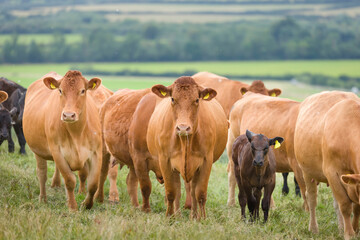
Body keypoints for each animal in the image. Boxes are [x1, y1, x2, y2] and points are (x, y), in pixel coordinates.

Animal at [22, 71, 102, 210]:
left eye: (82, 90)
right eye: (60, 90)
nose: (68, 115)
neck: (77, 133)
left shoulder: (97, 152)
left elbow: (93, 184)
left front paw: (86, 204)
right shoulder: (57, 151)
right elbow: (69, 180)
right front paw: (72, 206)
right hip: (38, 151)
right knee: (42, 174)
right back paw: (43, 199)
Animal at [147, 77, 228, 219]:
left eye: (196, 100)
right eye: (172, 99)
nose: (183, 128)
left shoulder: (206, 161)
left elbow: (200, 193)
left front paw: (202, 219)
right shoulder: (165, 161)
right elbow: (171, 192)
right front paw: (169, 217)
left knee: (193, 190)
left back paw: (194, 216)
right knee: (178, 191)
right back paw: (178, 215)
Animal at [294, 91, 360, 239]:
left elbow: (356, 207)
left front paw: (354, 229)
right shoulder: (332, 172)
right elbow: (345, 205)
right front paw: (349, 233)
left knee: (336, 204)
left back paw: (340, 228)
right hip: (307, 171)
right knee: (312, 199)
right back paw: (313, 228)